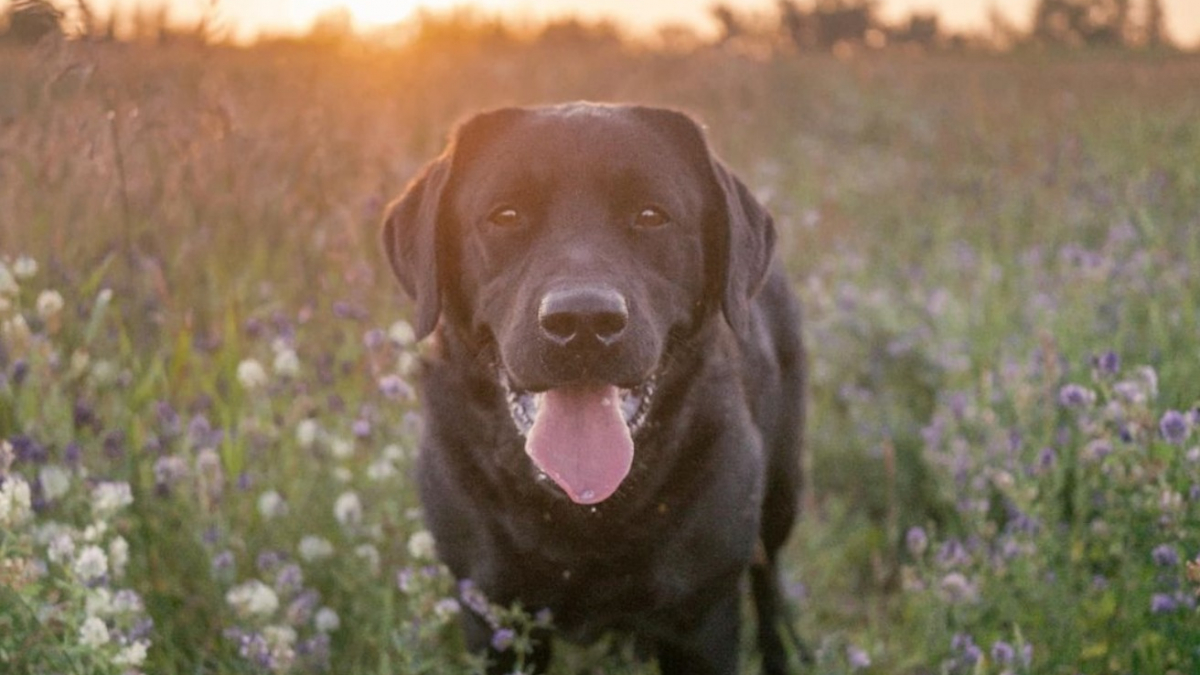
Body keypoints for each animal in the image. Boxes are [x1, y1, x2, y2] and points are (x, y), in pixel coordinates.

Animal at [384, 100, 806, 672]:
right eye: (506, 215)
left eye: (651, 215)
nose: (583, 319)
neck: (583, 515)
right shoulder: (491, 616)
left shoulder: (701, 618)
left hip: (782, 490)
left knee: (769, 577)